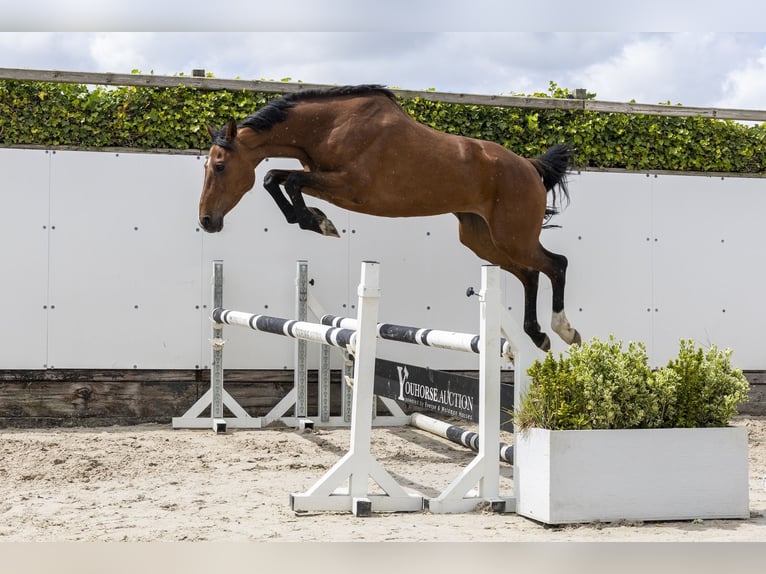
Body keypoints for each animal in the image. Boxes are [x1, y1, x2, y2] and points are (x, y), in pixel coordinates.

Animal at [198, 85, 581, 351]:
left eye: (220, 166)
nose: (206, 221)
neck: (329, 127)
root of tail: (529, 166)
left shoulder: (349, 186)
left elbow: (286, 179)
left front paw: (318, 222)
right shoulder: (327, 183)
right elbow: (273, 178)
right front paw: (316, 219)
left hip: (511, 237)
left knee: (556, 264)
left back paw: (564, 330)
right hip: (482, 240)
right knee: (531, 274)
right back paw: (538, 335)